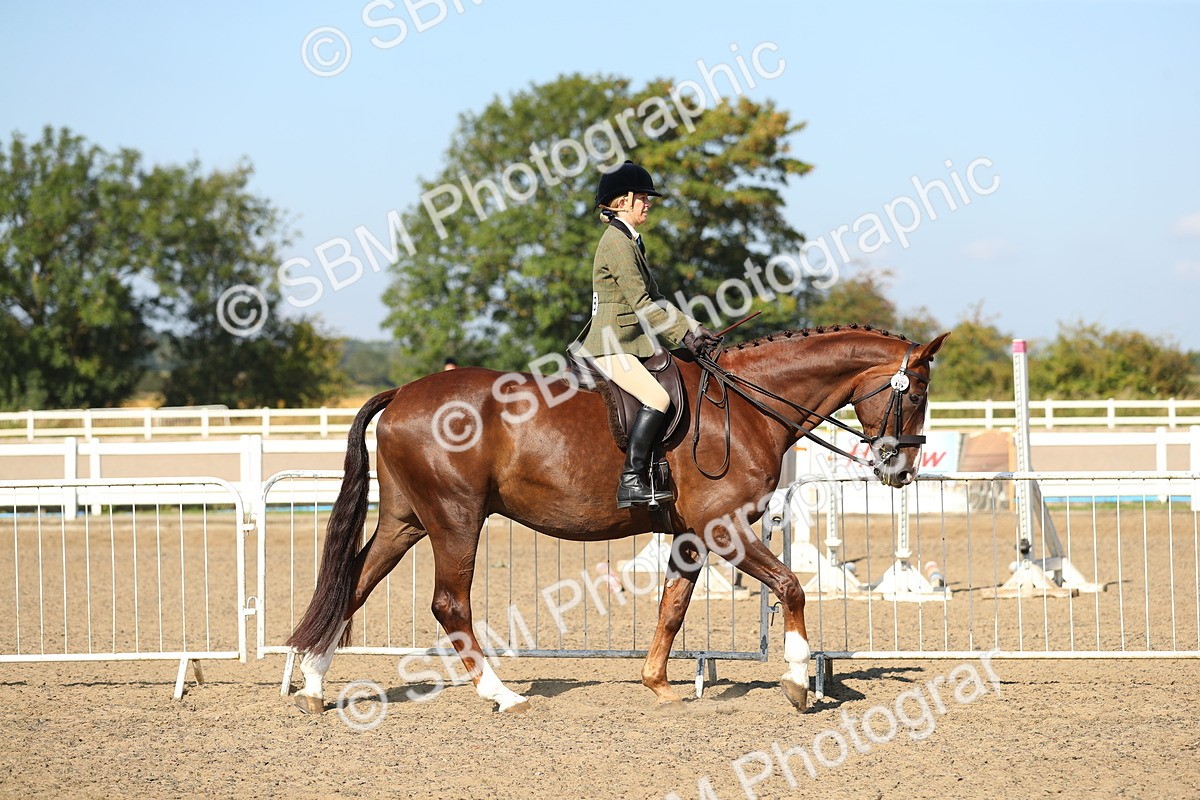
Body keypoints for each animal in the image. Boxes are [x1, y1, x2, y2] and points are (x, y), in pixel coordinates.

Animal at [287, 325, 950, 714]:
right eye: (917, 393)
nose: (900, 470)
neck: (746, 405)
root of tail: (400, 394)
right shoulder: (727, 528)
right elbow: (792, 586)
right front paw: (794, 682)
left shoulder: (691, 536)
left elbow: (672, 608)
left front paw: (658, 684)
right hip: (455, 520)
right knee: (449, 604)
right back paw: (500, 693)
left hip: (407, 521)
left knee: (354, 584)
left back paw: (314, 685)